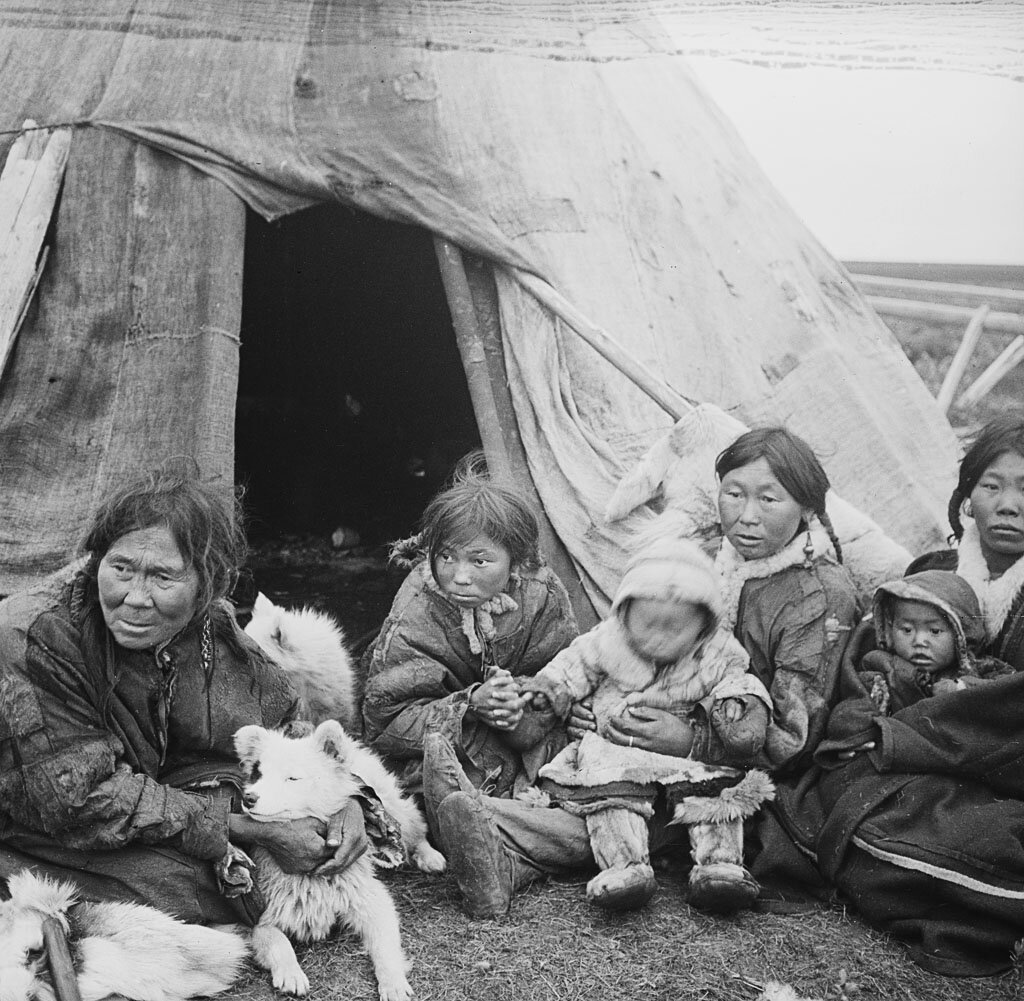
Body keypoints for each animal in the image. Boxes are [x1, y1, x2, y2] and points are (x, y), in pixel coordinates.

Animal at [234, 716, 446, 998]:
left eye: (292, 778)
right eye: (258, 774)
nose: (248, 798)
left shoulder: (371, 899)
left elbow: (386, 947)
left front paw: (394, 983)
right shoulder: (255, 918)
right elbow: (277, 941)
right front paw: (291, 973)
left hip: (392, 806)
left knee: (415, 826)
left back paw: (429, 855)